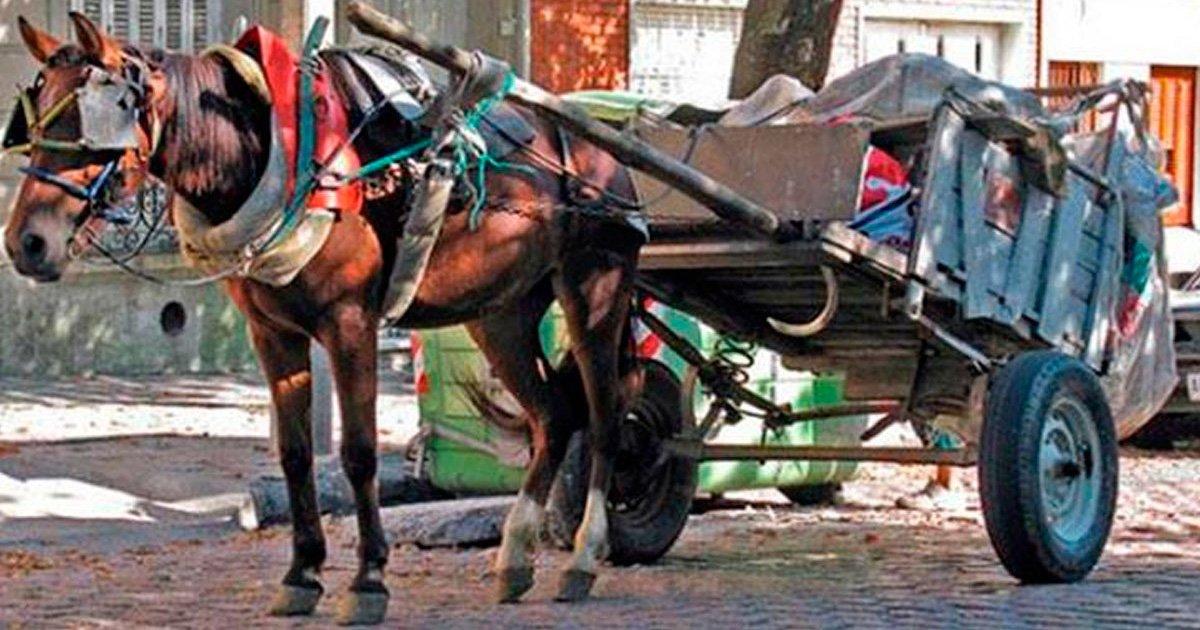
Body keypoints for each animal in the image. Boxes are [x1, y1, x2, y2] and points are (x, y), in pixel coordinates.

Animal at [7, 14, 648, 624]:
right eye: (33, 125)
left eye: (93, 123)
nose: (26, 243)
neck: (277, 157)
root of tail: (599, 150)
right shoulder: (273, 333)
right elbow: (295, 457)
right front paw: (302, 575)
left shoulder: (350, 325)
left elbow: (359, 454)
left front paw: (368, 581)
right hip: (501, 312)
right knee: (553, 417)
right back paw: (514, 557)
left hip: (594, 288)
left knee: (605, 418)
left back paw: (584, 558)